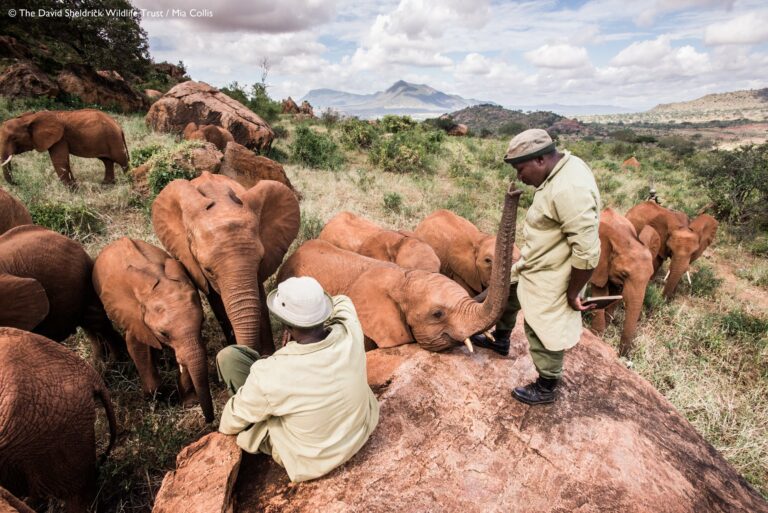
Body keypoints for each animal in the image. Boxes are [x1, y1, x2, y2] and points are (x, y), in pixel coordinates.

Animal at [0, 109, 129, 187]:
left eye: (13, 138)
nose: (18, 183)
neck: (29, 118)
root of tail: (119, 126)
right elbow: (64, 161)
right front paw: (75, 187)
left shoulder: (59, 138)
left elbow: (60, 161)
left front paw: (73, 190)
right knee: (107, 161)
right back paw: (106, 185)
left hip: (113, 138)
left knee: (121, 160)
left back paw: (128, 180)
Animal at [93, 238, 214, 422]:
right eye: (164, 334)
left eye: (202, 322)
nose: (209, 420)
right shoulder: (134, 316)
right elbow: (137, 347)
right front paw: (157, 400)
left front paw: (188, 402)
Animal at [589, 208, 661, 356]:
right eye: (624, 274)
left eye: (649, 277)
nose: (622, 355)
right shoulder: (599, 264)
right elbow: (600, 292)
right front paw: (596, 335)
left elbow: (615, 294)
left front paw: (606, 326)